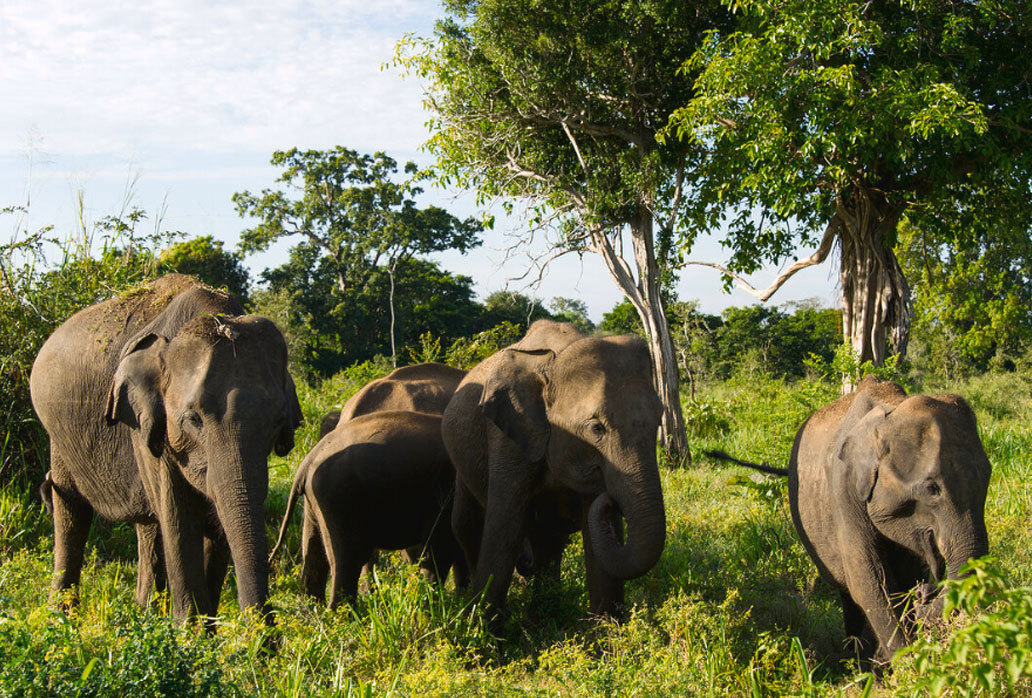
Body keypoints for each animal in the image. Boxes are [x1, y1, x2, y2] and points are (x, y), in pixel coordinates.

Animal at [29, 272, 301, 623]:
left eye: (278, 420)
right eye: (193, 419)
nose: (267, 632)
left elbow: (216, 520)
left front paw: (205, 628)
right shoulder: (144, 423)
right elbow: (178, 516)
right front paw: (192, 632)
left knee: (147, 524)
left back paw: (145, 614)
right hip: (58, 436)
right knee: (72, 508)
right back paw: (62, 618)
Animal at [268, 408, 462, 607]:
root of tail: (307, 461)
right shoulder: (446, 491)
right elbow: (442, 549)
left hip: (316, 499)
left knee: (315, 553)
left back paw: (315, 609)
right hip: (338, 495)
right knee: (348, 560)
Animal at [439, 318, 664, 619]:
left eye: (659, 420)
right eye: (597, 428)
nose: (611, 500)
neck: (554, 361)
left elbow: (595, 540)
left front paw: (606, 631)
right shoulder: (508, 435)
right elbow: (505, 527)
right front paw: (483, 628)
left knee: (548, 538)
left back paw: (543, 612)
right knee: (467, 525)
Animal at [710, 375, 990, 664]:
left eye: (988, 478)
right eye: (931, 489)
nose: (926, 595)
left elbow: (900, 578)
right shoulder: (843, 490)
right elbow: (868, 582)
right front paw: (905, 664)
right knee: (848, 594)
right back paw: (858, 662)